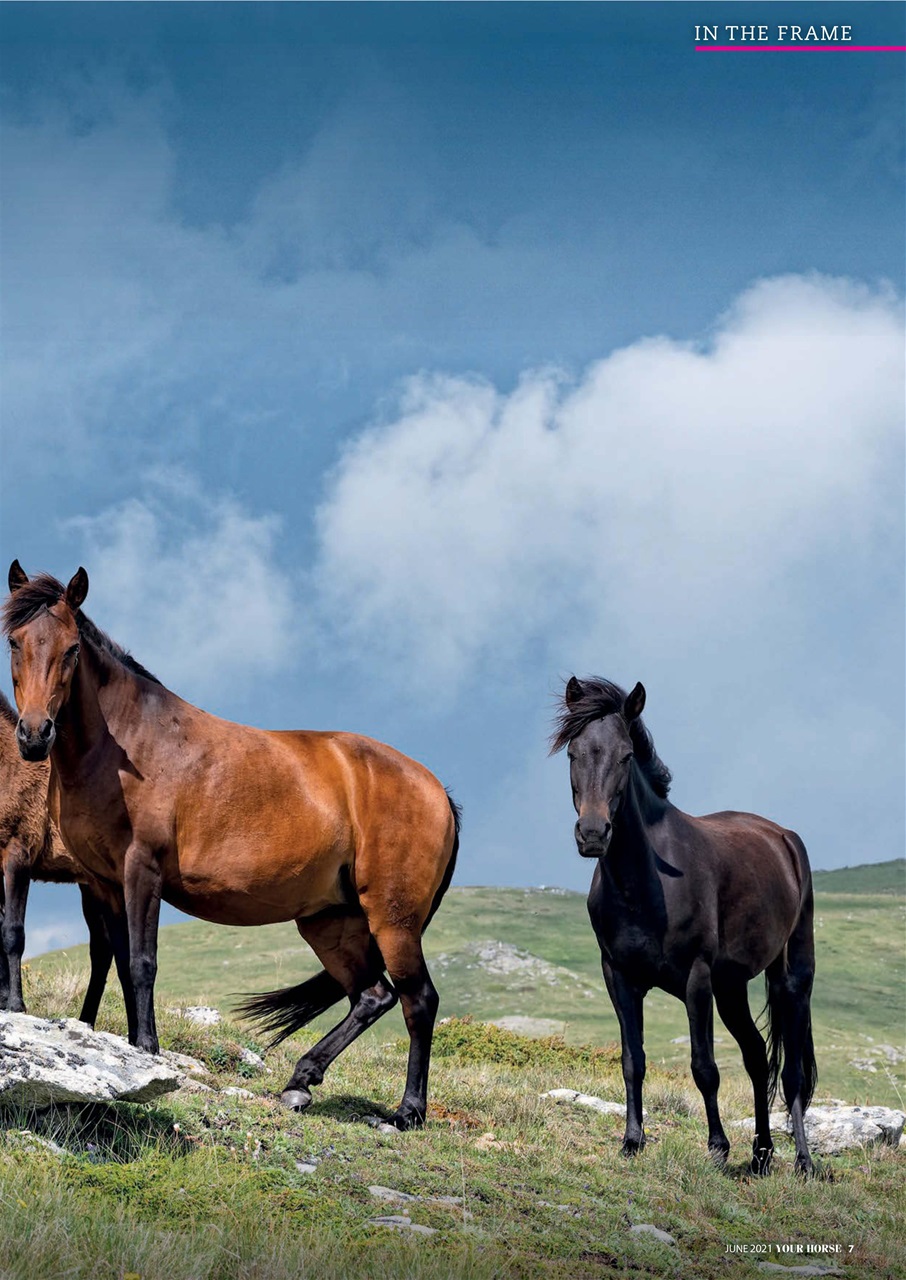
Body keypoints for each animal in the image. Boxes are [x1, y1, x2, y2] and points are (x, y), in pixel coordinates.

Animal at [0, 689, 117, 1022]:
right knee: (103, 949)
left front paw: (16, 1004)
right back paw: (86, 1020)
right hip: (92, 886)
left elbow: (12, 932)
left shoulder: (17, 856)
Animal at [551, 676, 816, 1175]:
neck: (644, 884)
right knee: (757, 1058)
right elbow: (632, 1060)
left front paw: (717, 1146)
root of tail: (784, 837)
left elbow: (704, 1067)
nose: (593, 834)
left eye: (626, 756)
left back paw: (804, 1162)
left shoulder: (696, 979)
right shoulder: (619, 977)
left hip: (790, 979)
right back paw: (761, 1155)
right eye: (573, 753)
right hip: (731, 988)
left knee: (791, 1073)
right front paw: (632, 1141)